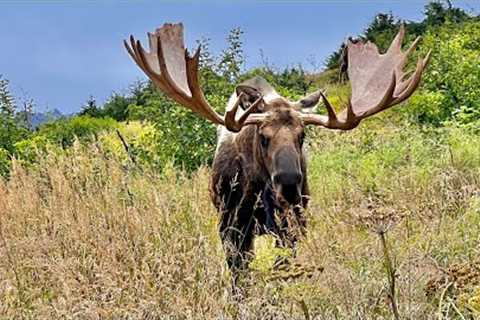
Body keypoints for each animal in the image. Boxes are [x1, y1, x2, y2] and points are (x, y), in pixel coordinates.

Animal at [123, 22, 428, 282]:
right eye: (263, 137)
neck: (256, 192)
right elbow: (239, 276)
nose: (290, 182)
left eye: (302, 136)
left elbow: (283, 266)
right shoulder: (231, 225)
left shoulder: (293, 224)